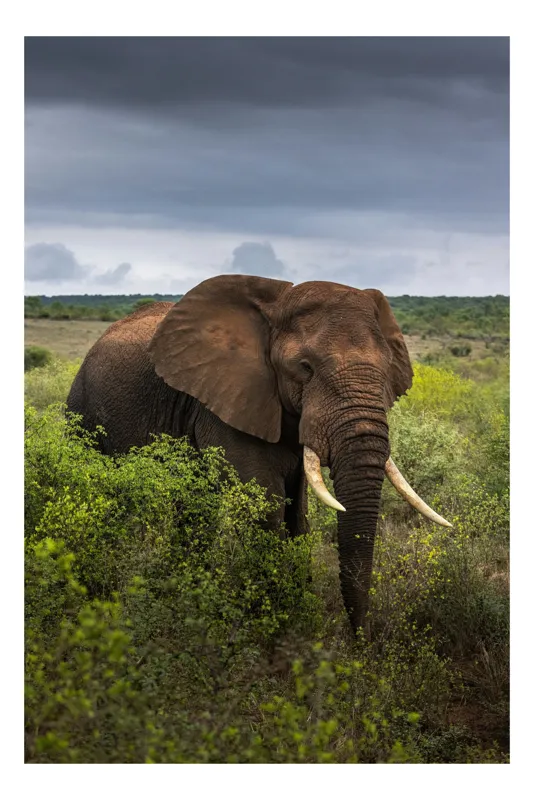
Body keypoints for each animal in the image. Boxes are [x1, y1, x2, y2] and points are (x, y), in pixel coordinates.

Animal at [66, 274, 451, 635]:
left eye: (386, 369)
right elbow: (266, 505)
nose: (361, 641)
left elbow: (299, 514)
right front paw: (275, 628)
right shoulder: (225, 401)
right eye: (305, 367)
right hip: (81, 409)